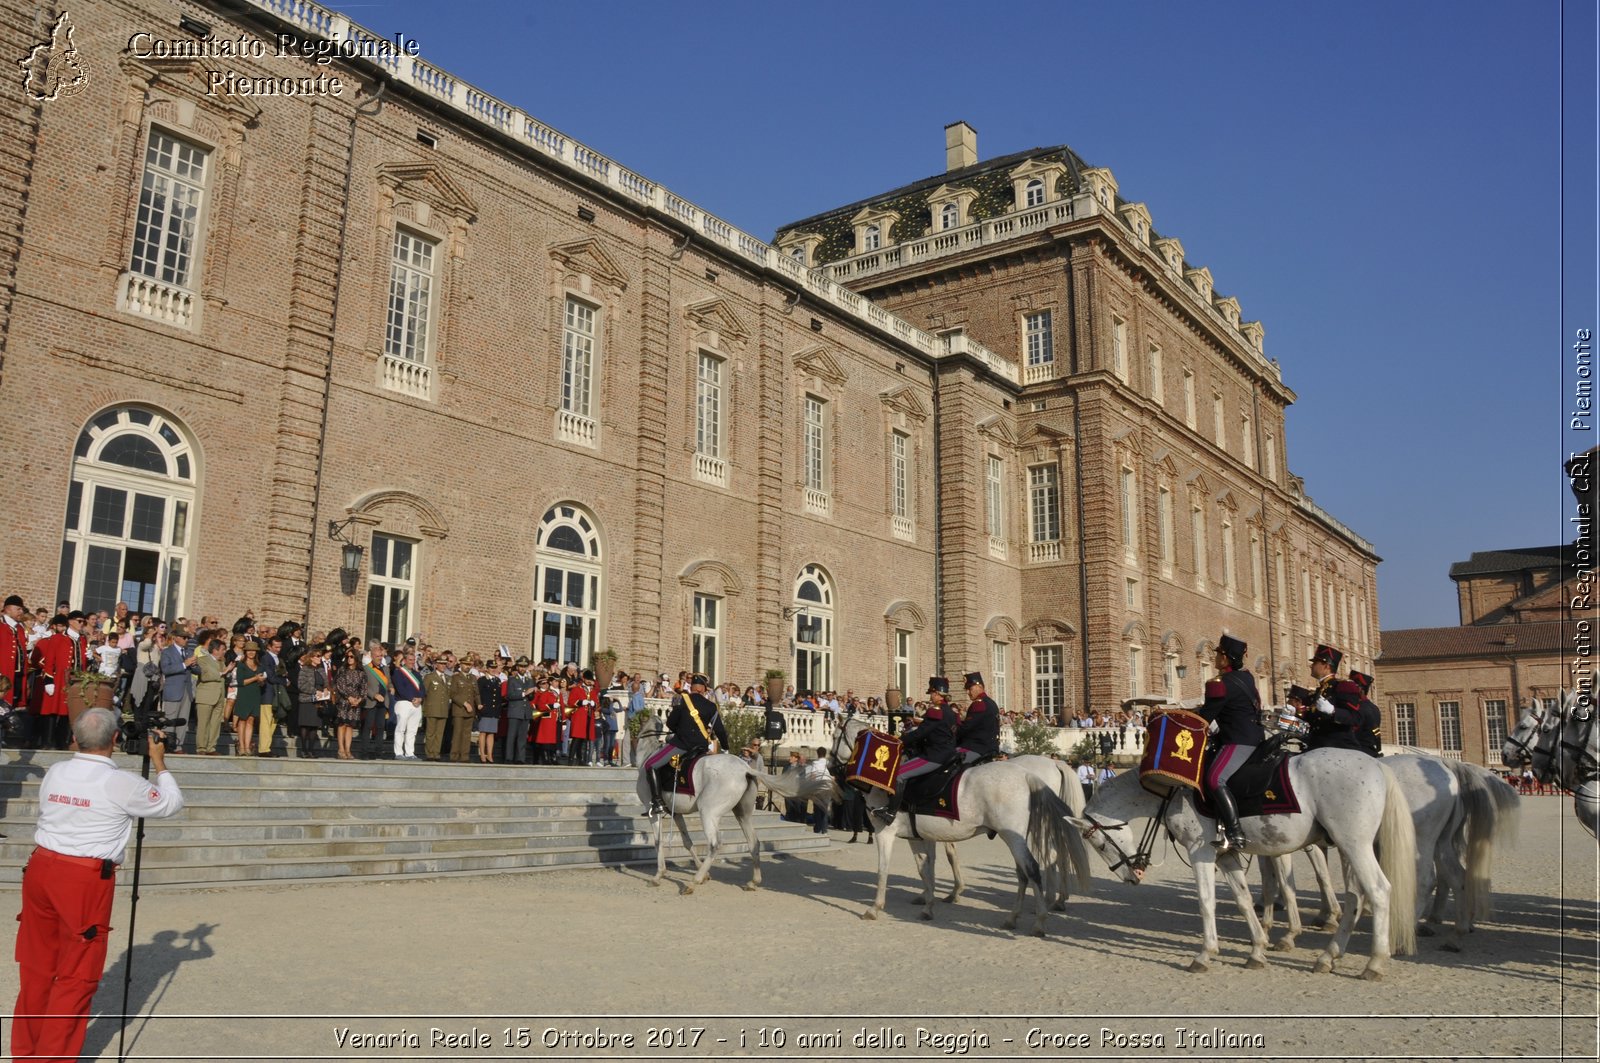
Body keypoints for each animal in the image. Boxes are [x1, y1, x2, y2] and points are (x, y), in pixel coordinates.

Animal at [633, 730, 838, 890]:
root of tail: (746, 768)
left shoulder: (653, 811)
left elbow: (658, 841)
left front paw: (659, 875)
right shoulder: (676, 813)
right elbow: (687, 842)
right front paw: (701, 871)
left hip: (708, 812)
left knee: (715, 844)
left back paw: (694, 882)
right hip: (742, 814)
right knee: (754, 842)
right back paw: (753, 881)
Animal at [832, 717, 1094, 934]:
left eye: (835, 737)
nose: (832, 768)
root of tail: (1028, 774)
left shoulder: (885, 832)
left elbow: (885, 869)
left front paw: (875, 908)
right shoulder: (920, 835)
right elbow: (926, 868)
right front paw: (929, 904)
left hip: (1017, 836)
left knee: (1037, 865)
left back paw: (1041, 917)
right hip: (1016, 835)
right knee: (1031, 868)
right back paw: (1019, 915)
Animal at [1075, 746, 1414, 979]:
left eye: (1098, 844)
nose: (1131, 877)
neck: (1174, 789)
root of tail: (1376, 764)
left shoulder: (1201, 853)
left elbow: (1206, 902)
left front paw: (1205, 954)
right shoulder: (1226, 855)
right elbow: (1244, 900)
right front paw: (1257, 951)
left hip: (1354, 844)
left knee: (1379, 891)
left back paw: (1375, 962)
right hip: (1345, 846)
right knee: (1355, 896)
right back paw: (1328, 956)